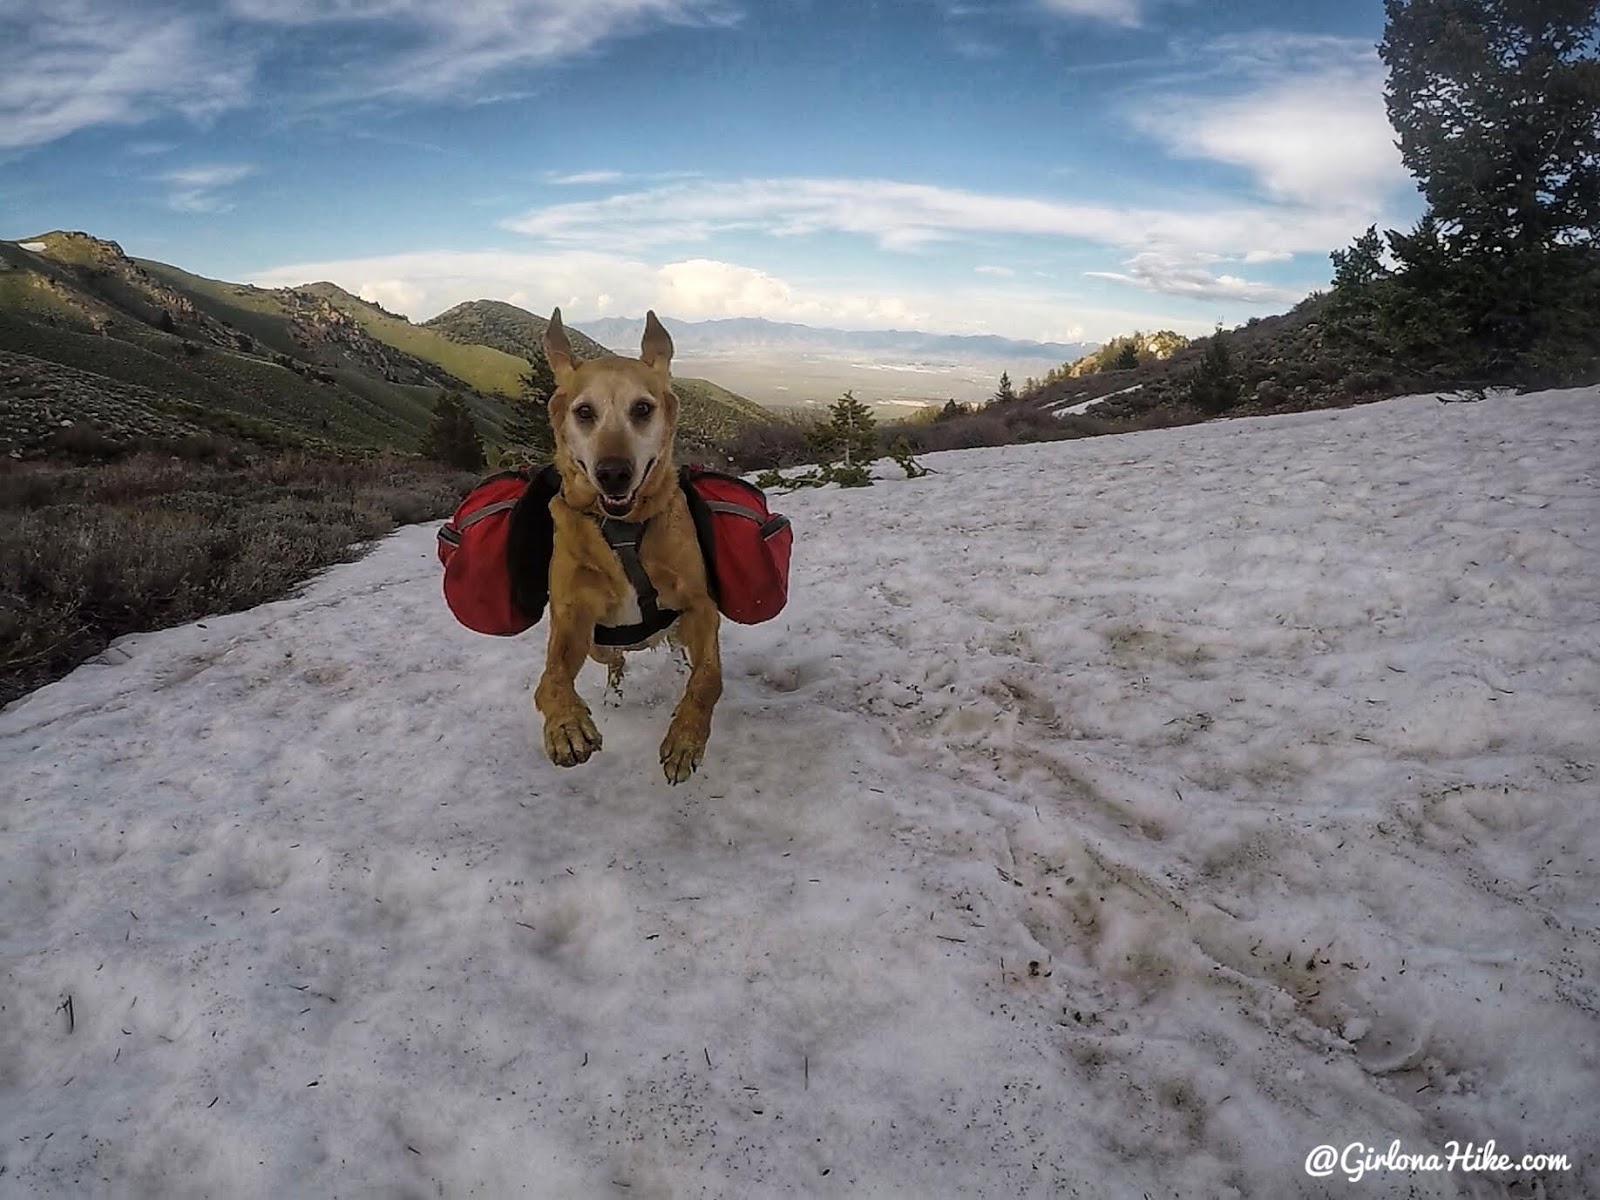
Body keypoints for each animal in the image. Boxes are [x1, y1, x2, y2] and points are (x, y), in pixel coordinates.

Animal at [534, 305, 723, 784]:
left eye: (642, 408)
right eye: (584, 412)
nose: (613, 473)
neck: (622, 531)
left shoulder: (700, 608)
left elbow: (707, 678)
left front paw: (685, 738)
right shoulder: (569, 620)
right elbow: (551, 679)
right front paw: (566, 725)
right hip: (598, 645)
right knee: (613, 662)